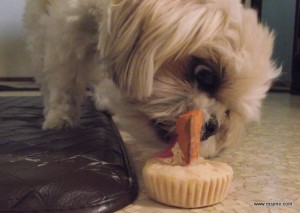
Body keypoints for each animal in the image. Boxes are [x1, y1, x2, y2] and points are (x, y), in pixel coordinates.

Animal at [24, 0, 280, 156]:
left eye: (227, 113)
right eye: (205, 75)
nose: (211, 126)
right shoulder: (66, 31)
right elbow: (64, 82)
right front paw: (61, 118)